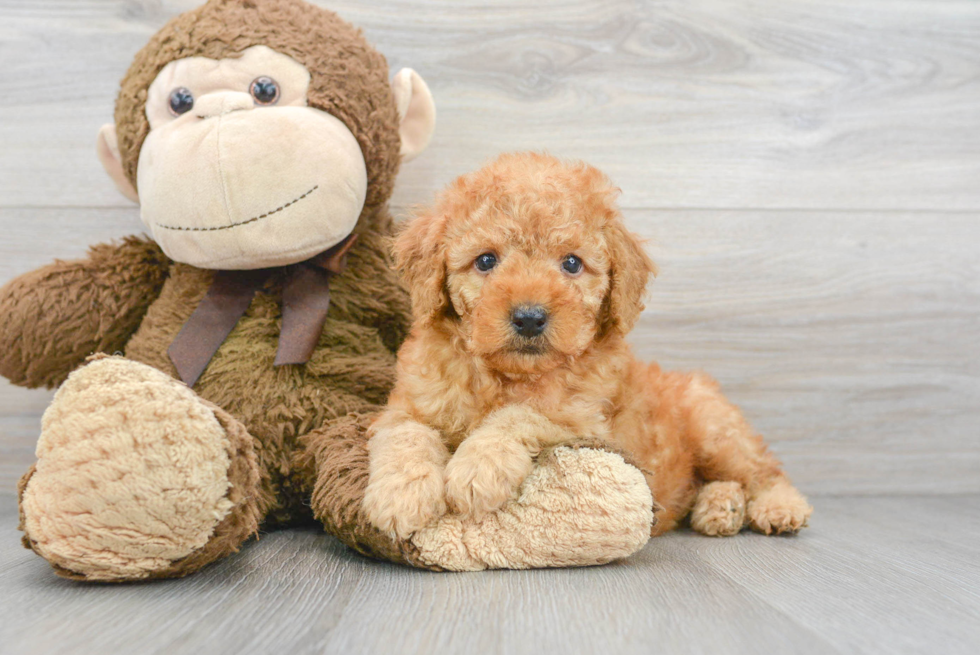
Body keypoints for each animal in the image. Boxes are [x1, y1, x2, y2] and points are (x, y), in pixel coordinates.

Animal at [362, 152, 812, 540]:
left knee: (762, 470)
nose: (529, 317)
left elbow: (519, 415)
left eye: (572, 263)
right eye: (486, 261)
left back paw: (778, 507)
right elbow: (407, 435)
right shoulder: (407, 405)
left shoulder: (581, 421)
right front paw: (400, 496)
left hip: (715, 429)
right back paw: (719, 507)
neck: (508, 375)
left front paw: (478, 468)